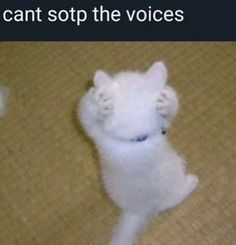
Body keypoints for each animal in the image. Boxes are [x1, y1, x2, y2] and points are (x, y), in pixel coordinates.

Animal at [78, 61, 198, 245]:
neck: (134, 141)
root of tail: (140, 209)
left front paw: (166, 102)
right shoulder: (99, 134)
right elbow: (85, 116)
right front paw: (98, 103)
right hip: (176, 165)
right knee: (169, 201)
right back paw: (191, 183)